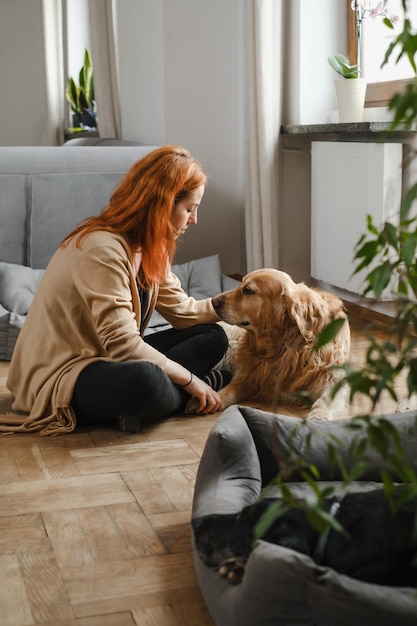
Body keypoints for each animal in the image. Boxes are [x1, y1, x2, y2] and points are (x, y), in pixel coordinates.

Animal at [211, 268, 352, 420]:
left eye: (248, 290)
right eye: (240, 283)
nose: (213, 301)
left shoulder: (333, 377)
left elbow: (324, 400)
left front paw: (318, 416)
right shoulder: (250, 374)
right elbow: (229, 389)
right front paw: (213, 398)